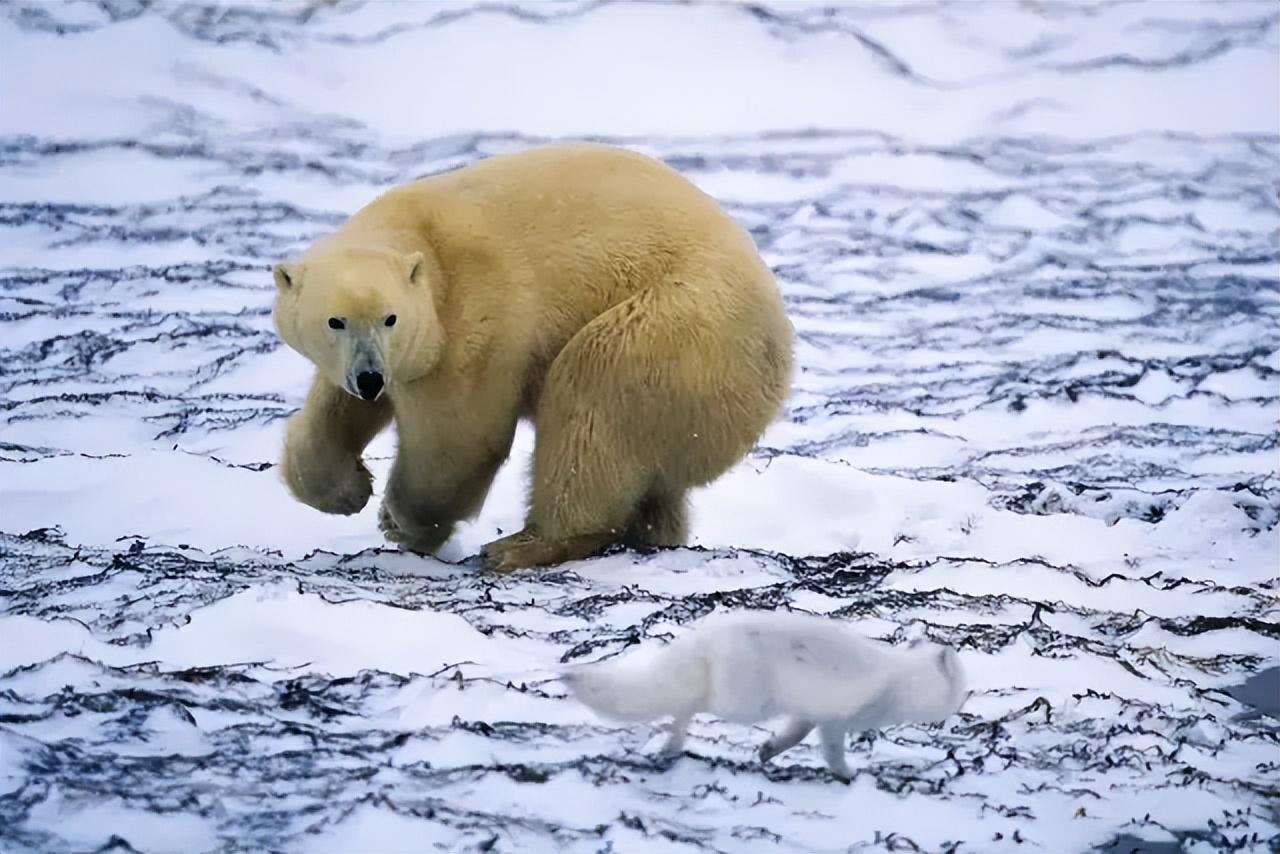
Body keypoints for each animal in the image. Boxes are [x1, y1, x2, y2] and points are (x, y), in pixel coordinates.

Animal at [272, 143, 788, 571]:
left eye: (390, 318)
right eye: (335, 321)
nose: (370, 378)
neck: (425, 238)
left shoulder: (474, 320)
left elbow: (460, 437)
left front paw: (399, 520)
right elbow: (335, 409)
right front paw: (346, 490)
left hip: (681, 324)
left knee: (591, 396)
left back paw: (523, 545)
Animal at [563, 606, 967, 783]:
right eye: (961, 687)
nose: (964, 703)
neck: (901, 679)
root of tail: (704, 635)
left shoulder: (808, 712)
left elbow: (794, 735)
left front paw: (768, 751)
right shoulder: (835, 719)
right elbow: (832, 750)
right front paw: (847, 775)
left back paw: (671, 747)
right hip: (741, 701)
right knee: (686, 703)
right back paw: (673, 743)